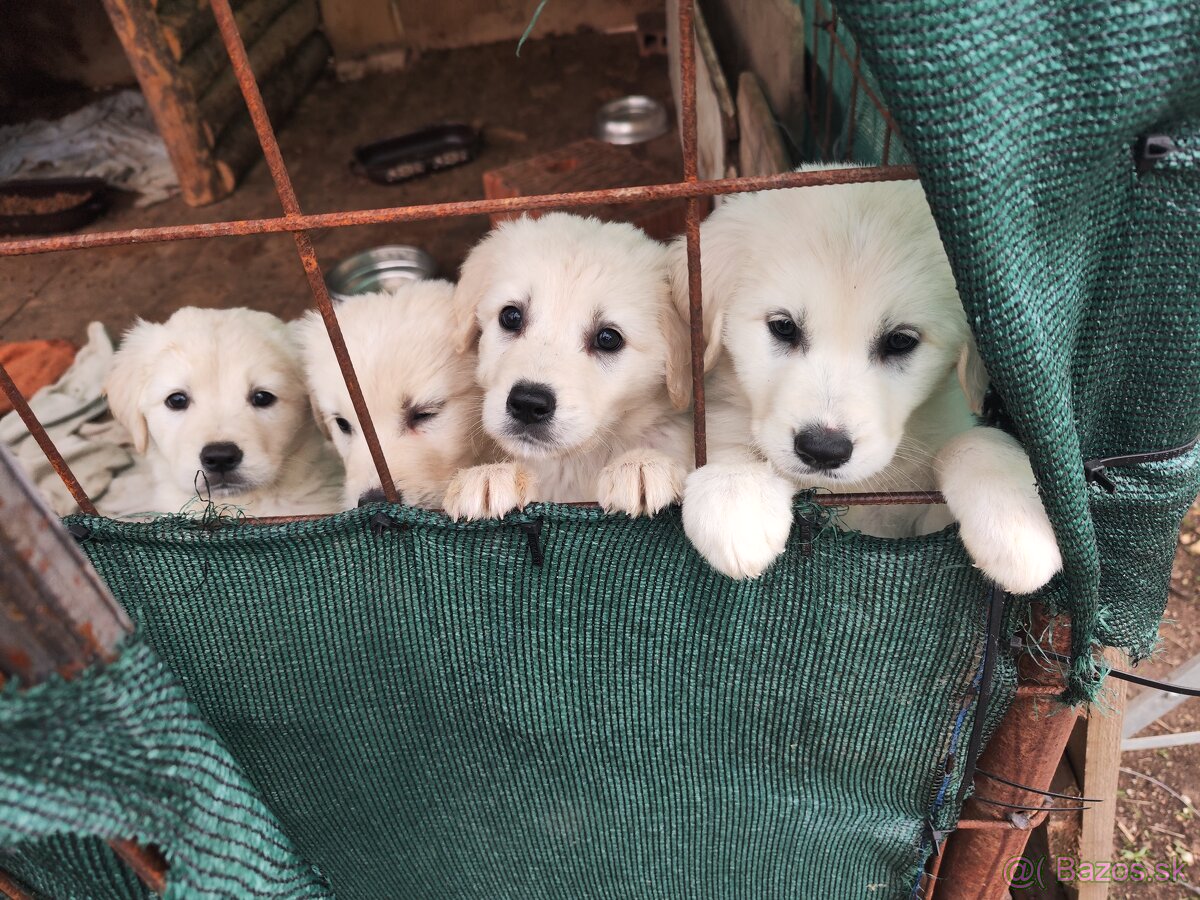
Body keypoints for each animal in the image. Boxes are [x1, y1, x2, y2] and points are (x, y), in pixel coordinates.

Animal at [446, 213, 696, 518]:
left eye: (608, 338)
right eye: (511, 317)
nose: (528, 403)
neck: (574, 463)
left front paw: (640, 465)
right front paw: (492, 476)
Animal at [672, 171, 1065, 595]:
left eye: (900, 341)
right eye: (783, 327)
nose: (823, 450)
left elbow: (972, 441)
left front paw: (1017, 522)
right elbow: (732, 445)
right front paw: (735, 493)